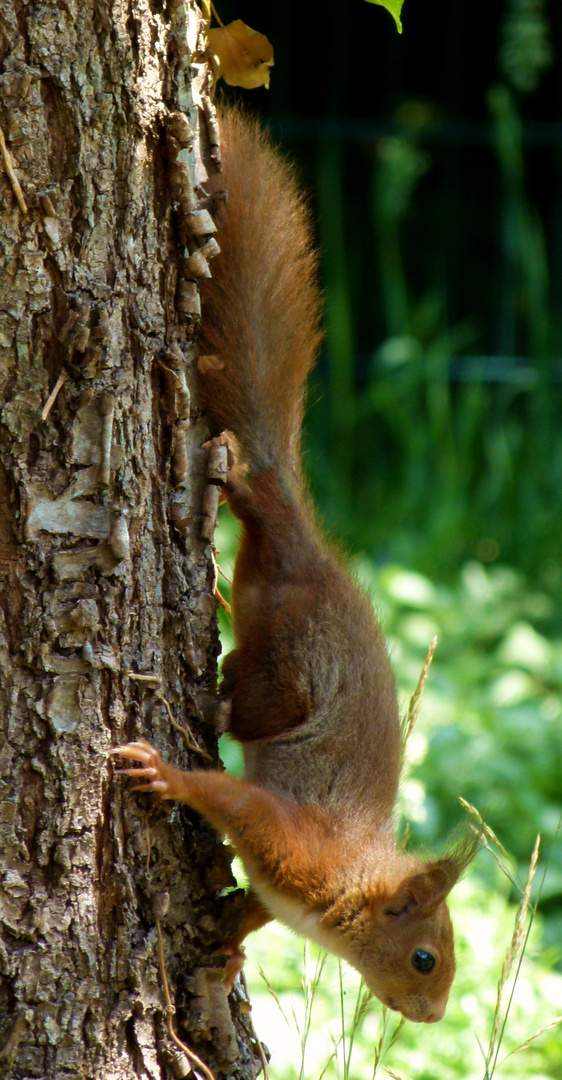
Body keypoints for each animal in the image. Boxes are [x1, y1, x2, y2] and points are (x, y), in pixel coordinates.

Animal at [114, 105, 473, 1023]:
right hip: (285, 643)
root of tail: (313, 547)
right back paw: (233, 480)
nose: (431, 1015)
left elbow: (245, 914)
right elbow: (229, 798)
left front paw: (226, 953)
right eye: (425, 957)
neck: (345, 884)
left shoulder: (279, 890)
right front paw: (162, 773)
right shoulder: (291, 841)